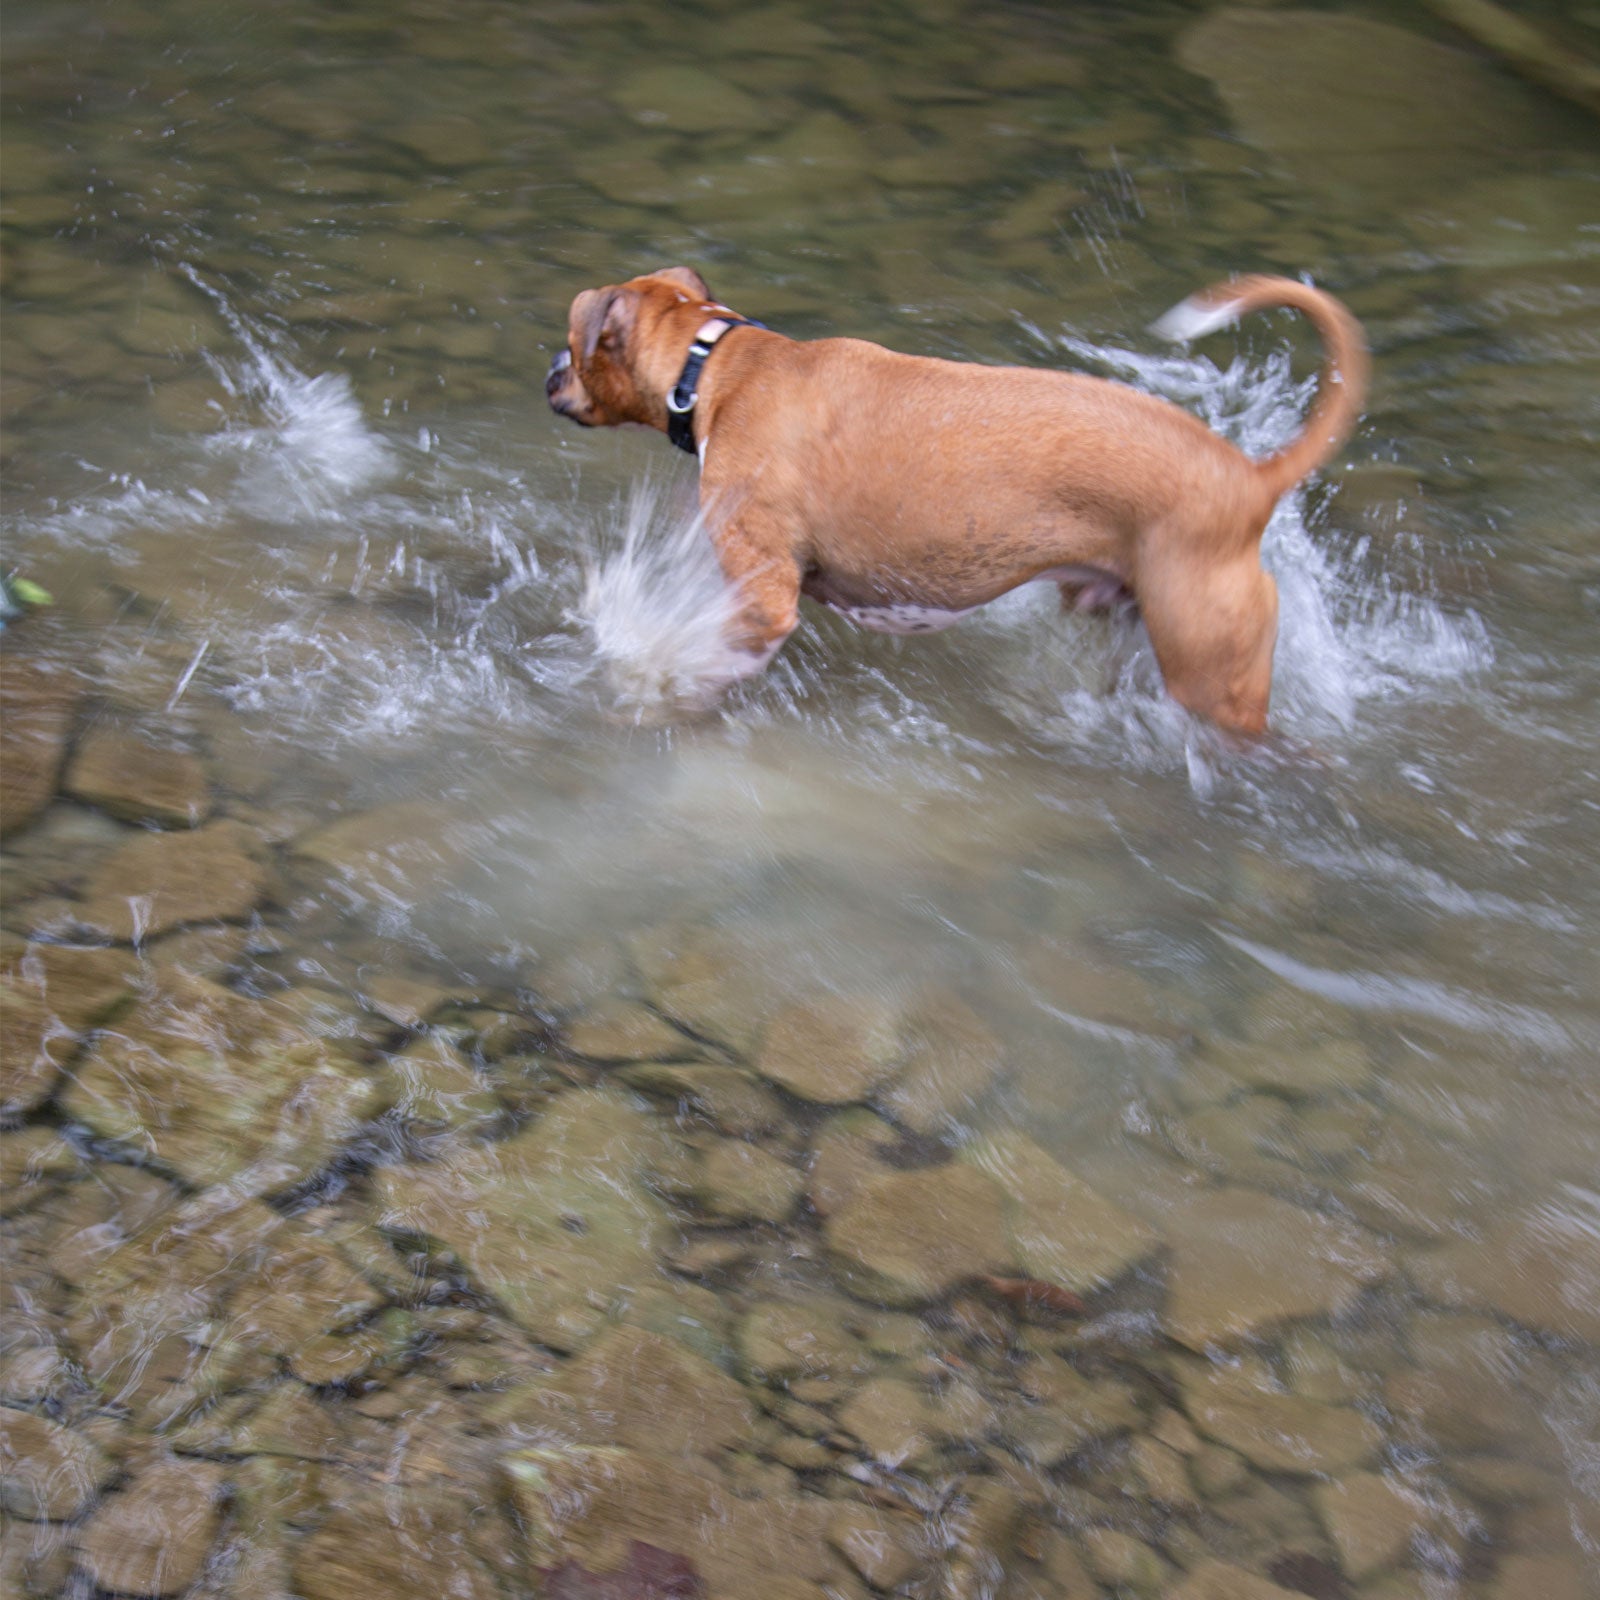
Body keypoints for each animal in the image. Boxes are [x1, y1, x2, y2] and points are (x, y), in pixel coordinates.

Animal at [547, 267, 1363, 732]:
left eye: (573, 341)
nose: (550, 368)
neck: (718, 365)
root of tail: (1249, 476)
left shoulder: (764, 598)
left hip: (1214, 677)